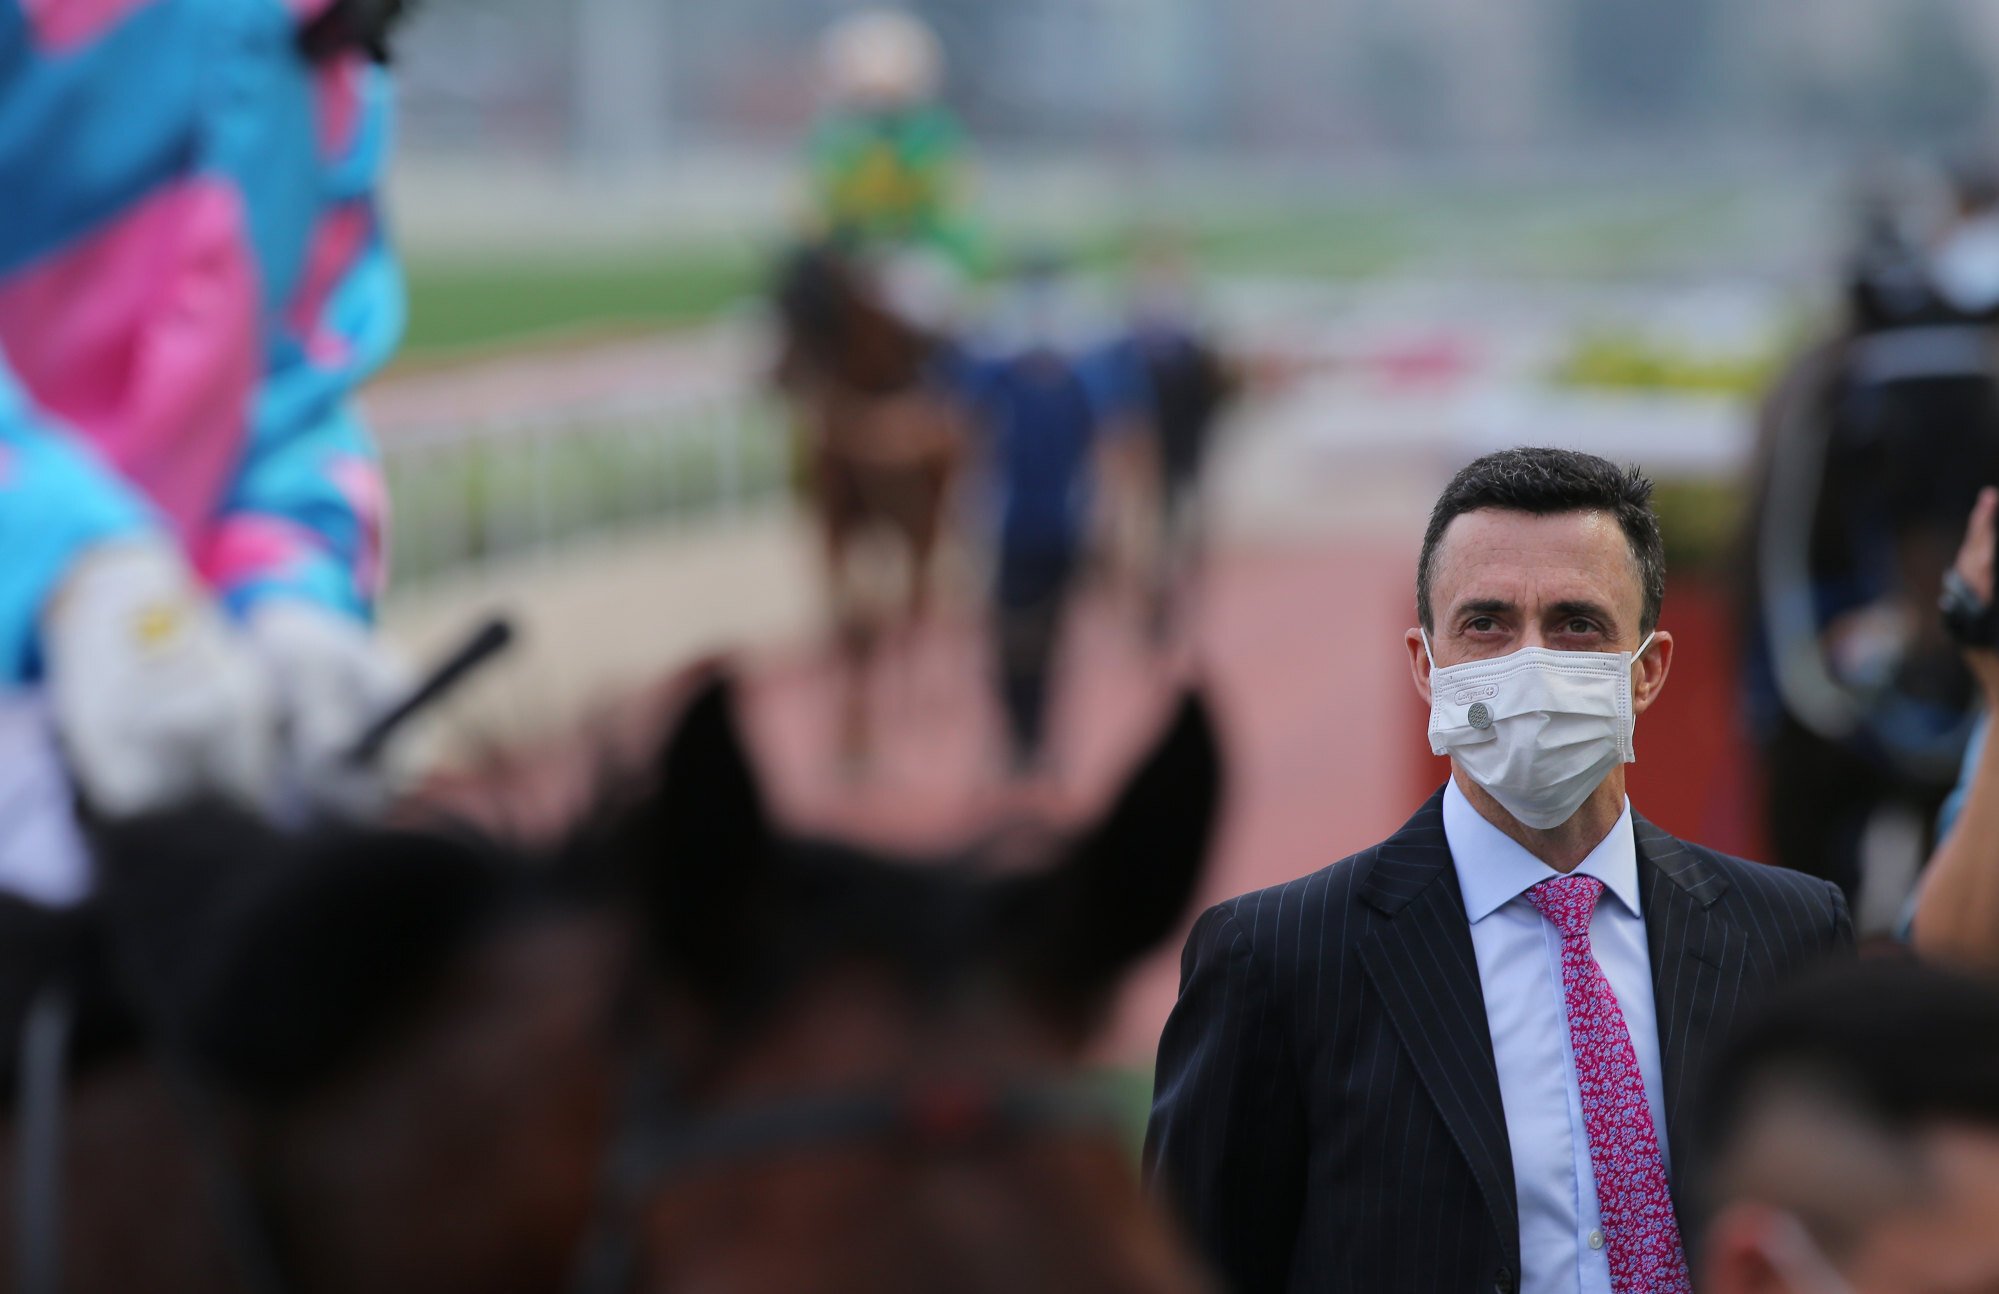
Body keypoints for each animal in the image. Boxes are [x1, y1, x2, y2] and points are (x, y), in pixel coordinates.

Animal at [767, 248, 963, 764]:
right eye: (778, 298)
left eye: (819, 306)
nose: (778, 374)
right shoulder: (835, 523)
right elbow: (849, 627)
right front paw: (850, 731)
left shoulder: (914, 519)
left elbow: (894, 614)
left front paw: (880, 721)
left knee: (918, 600)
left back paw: (918, 693)